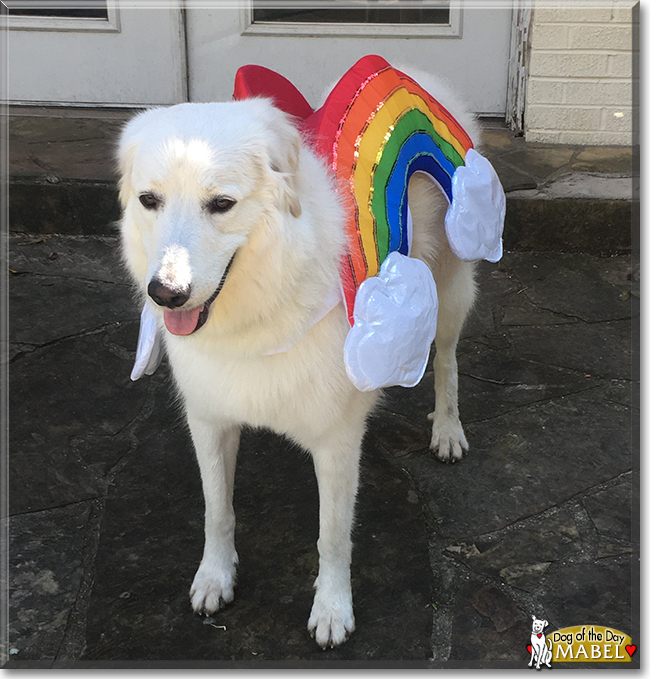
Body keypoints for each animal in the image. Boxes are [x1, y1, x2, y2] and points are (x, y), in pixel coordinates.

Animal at [116, 67, 476, 648]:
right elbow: (217, 510)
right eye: (149, 200)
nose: (165, 294)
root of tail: (419, 73)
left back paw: (446, 429)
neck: (259, 312)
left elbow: (333, 536)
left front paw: (332, 608)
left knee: (445, 361)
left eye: (221, 204)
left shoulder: (336, 444)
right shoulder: (209, 420)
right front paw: (214, 577)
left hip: (450, 290)